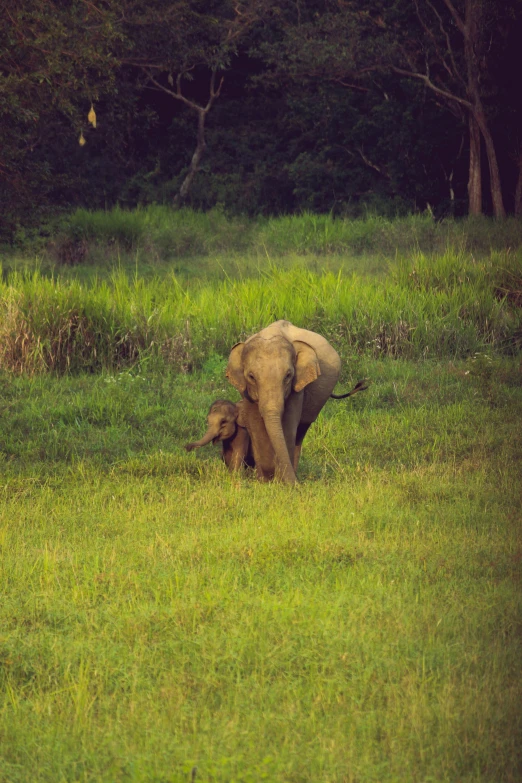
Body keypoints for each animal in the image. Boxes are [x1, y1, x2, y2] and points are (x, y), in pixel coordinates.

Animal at [224, 318, 342, 484]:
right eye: (251, 377)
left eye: (288, 376)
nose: (297, 485)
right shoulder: (245, 390)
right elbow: (255, 422)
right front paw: (264, 480)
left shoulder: (297, 387)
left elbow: (288, 423)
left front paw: (280, 480)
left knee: (301, 430)